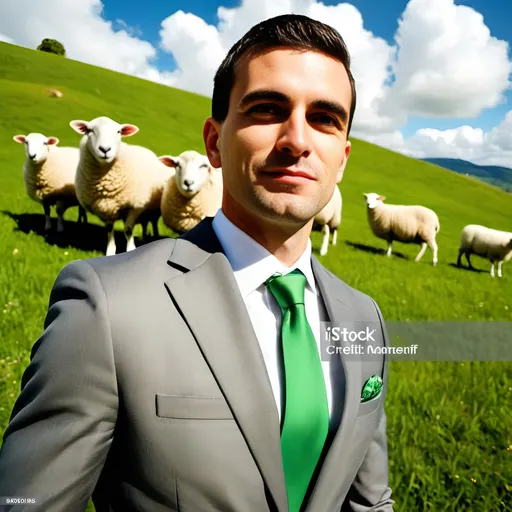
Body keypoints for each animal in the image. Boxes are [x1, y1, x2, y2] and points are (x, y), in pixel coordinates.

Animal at [69, 116, 173, 256]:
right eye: (89, 130)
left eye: (118, 131)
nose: (105, 149)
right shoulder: (105, 209)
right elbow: (109, 230)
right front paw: (110, 251)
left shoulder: (135, 206)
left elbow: (128, 230)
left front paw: (131, 249)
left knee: (152, 223)